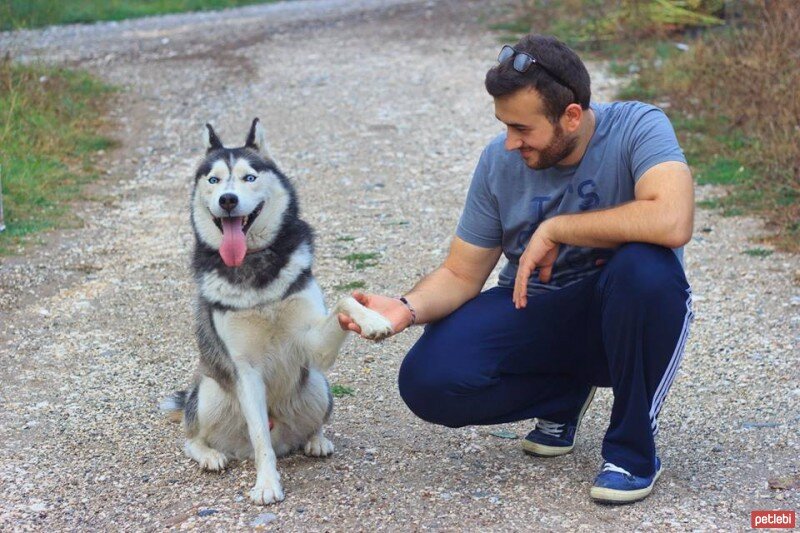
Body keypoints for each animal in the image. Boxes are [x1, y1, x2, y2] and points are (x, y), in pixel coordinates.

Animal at [160, 118, 394, 504]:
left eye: (249, 177)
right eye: (214, 180)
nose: (227, 200)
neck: (256, 268)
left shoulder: (313, 344)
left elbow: (345, 299)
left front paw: (373, 319)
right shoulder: (245, 370)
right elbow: (260, 439)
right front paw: (267, 484)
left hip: (317, 384)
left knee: (311, 424)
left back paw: (316, 440)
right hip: (209, 391)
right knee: (191, 437)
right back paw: (209, 454)